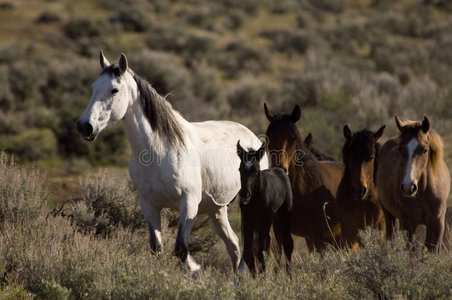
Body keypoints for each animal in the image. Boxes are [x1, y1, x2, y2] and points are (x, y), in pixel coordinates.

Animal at [76, 51, 266, 272]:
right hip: (217, 209)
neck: (158, 152)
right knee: (234, 245)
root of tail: (253, 139)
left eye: (114, 89)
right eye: (93, 88)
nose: (85, 127)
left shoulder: (189, 204)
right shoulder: (149, 205)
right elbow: (157, 249)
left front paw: (195, 270)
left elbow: (181, 250)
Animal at [237, 141, 294, 276]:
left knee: (287, 242)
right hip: (273, 219)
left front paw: (262, 275)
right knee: (275, 243)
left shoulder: (264, 219)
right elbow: (248, 252)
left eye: (256, 171)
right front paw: (256, 277)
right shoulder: (248, 219)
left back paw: (289, 274)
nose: (245, 194)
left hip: (283, 214)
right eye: (240, 169)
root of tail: (281, 171)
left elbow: (260, 250)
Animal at [376, 115, 450, 253]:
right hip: (388, 214)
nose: (408, 187)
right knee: (391, 237)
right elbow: (412, 251)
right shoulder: (408, 223)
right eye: (400, 149)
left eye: (425, 150)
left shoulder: (437, 223)